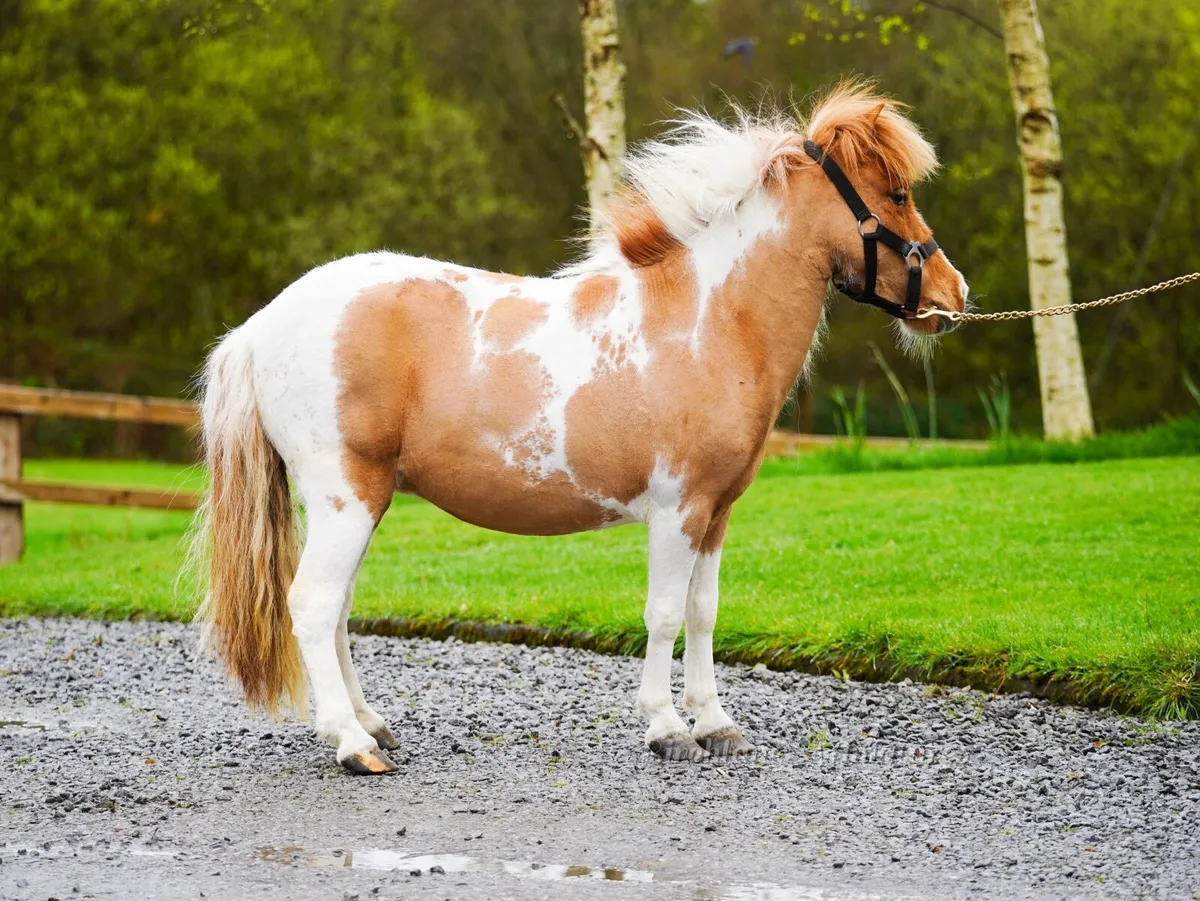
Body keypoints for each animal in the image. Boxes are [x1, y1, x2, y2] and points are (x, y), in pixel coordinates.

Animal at [189, 81, 969, 775]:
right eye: (897, 194)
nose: (953, 294)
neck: (709, 319)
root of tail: (262, 326)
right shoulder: (677, 509)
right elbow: (663, 614)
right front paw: (668, 729)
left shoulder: (716, 512)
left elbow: (704, 611)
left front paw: (716, 723)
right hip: (346, 498)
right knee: (314, 606)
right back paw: (353, 745)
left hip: (358, 503)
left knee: (339, 609)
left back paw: (371, 725)